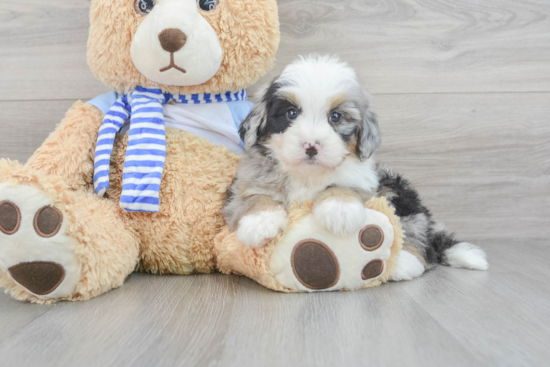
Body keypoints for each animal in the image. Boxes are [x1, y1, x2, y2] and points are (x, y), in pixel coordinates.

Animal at [224, 54, 492, 282]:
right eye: (291, 113)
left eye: (335, 117)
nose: (311, 146)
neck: (308, 174)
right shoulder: (243, 186)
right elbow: (255, 197)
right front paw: (260, 223)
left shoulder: (367, 182)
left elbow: (343, 186)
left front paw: (339, 210)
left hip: (397, 191)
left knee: (415, 232)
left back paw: (404, 262)